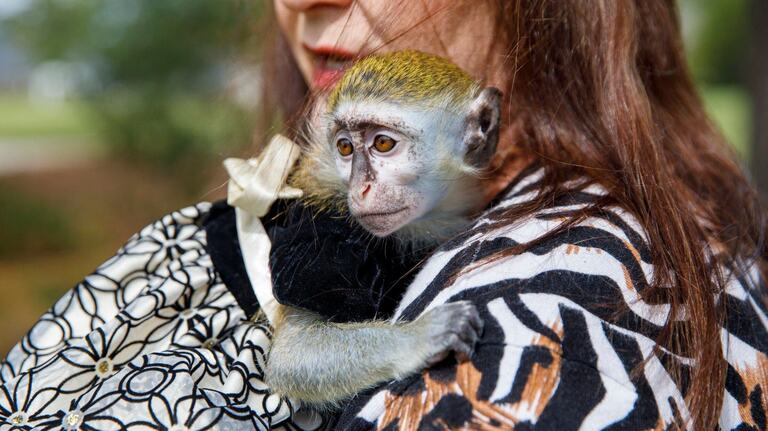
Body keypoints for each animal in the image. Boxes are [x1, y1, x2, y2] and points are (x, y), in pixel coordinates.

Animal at [263, 51, 502, 410]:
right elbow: (292, 357)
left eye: (383, 143)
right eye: (345, 148)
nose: (360, 188)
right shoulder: (314, 245)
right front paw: (419, 338)